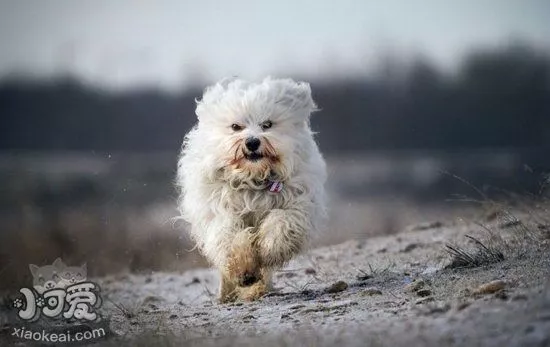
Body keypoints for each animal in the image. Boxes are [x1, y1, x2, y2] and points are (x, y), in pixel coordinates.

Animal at [178, 77, 328, 304]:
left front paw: (269, 249)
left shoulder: (297, 203)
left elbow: (281, 222)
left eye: (267, 124)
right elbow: (231, 237)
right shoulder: (221, 210)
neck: (254, 179)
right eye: (235, 127)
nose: (252, 142)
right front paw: (244, 270)